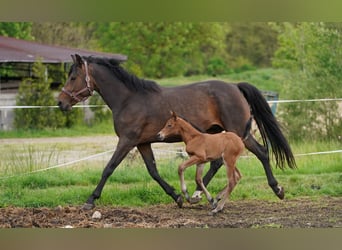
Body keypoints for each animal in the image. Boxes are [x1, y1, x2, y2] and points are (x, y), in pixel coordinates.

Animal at [57, 54, 296, 209]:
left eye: (73, 77)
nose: (61, 103)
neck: (128, 99)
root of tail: (235, 86)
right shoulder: (142, 143)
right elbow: (153, 171)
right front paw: (177, 197)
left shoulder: (127, 140)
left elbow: (109, 168)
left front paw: (90, 200)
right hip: (220, 133)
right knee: (221, 161)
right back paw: (200, 195)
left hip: (237, 132)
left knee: (260, 152)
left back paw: (277, 190)